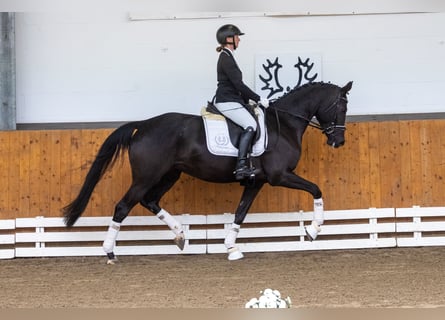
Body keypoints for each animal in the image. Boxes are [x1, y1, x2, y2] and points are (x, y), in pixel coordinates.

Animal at [63, 81, 354, 262]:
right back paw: (110, 252)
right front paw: (313, 231)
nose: (338, 141)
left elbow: (240, 213)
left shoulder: (256, 182)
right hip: (147, 176)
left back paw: (181, 235)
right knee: (123, 206)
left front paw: (231, 247)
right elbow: (316, 189)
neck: (284, 123)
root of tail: (144, 124)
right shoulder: (279, 176)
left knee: (150, 200)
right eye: (342, 107)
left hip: (169, 174)